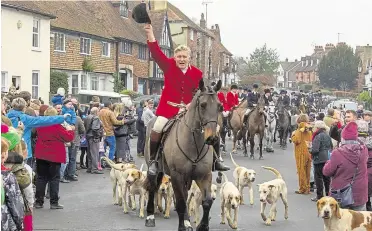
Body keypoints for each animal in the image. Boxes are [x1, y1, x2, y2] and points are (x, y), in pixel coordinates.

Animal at [144, 79, 222, 231]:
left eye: (219, 106)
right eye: (203, 105)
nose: (212, 138)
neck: (194, 143)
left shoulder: (204, 175)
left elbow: (207, 201)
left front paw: (202, 225)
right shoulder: (176, 176)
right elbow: (180, 202)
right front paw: (182, 226)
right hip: (155, 169)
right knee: (152, 187)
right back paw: (150, 216)